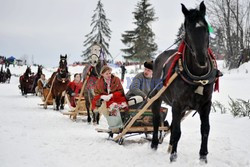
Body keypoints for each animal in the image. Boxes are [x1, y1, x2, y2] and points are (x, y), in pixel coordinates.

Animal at [150, 1, 221, 163]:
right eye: (188, 29)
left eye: (205, 27)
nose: (202, 59)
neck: (197, 77)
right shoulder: (177, 104)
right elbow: (176, 131)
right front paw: (173, 157)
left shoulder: (206, 105)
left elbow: (205, 129)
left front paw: (203, 156)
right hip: (156, 98)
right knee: (156, 120)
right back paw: (155, 144)